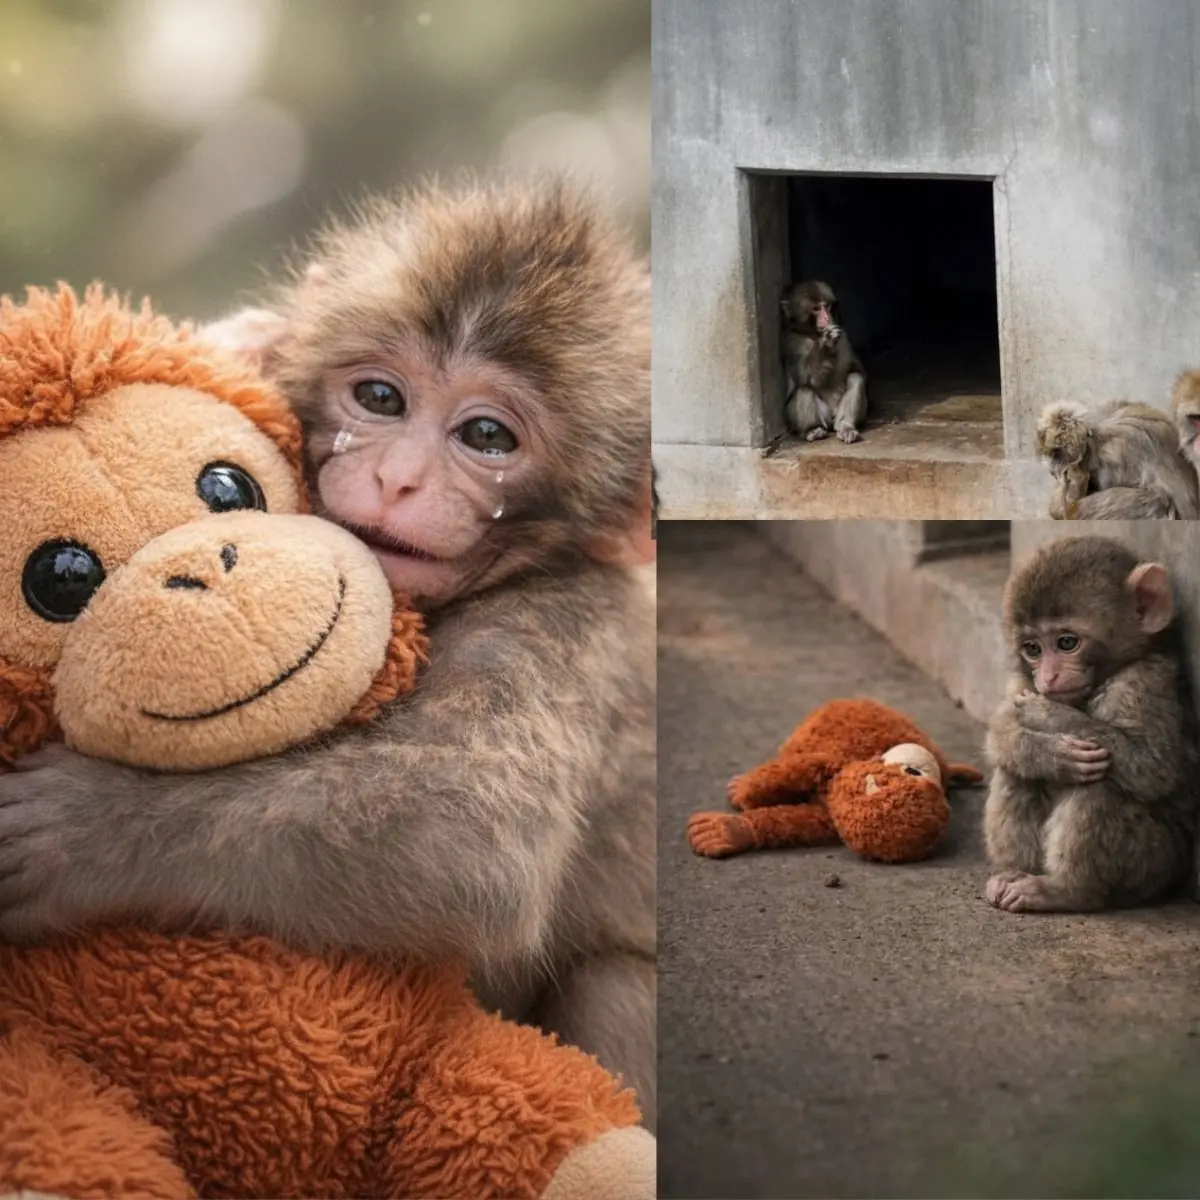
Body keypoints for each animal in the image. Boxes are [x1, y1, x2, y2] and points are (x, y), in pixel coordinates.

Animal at [780, 279, 868, 444]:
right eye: (816, 308)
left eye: (826, 306)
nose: (827, 318)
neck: (813, 334)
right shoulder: (791, 343)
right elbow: (806, 377)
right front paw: (825, 344)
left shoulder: (844, 335)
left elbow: (857, 370)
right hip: (817, 417)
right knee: (804, 390)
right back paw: (812, 430)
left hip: (838, 415)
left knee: (855, 379)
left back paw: (846, 426)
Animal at [982, 536, 1198, 913]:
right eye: (1032, 649)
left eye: (1067, 642)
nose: (1048, 678)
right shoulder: (1022, 680)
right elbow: (1001, 734)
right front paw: (1050, 754)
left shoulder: (1143, 681)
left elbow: (1151, 767)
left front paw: (1048, 715)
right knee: (1015, 772)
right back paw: (1016, 873)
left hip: (1154, 861)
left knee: (1101, 783)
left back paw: (1066, 890)